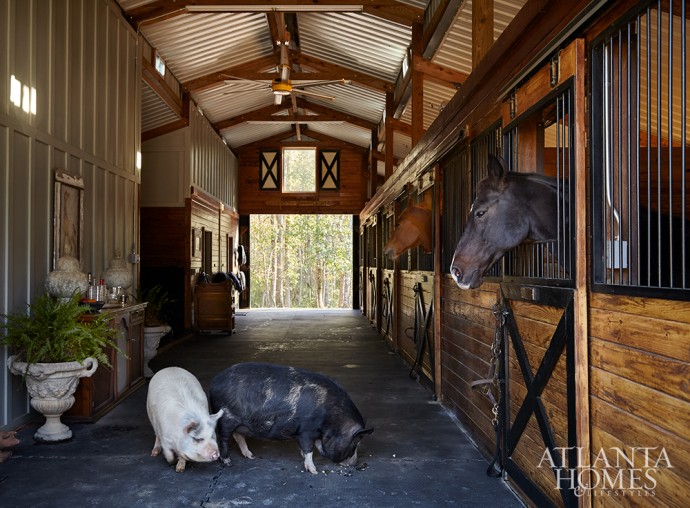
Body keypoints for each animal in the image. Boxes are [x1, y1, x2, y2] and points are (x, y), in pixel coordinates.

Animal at [208, 362, 370, 472]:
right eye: (356, 443)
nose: (354, 464)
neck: (333, 420)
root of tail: (214, 382)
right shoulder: (306, 430)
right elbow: (309, 448)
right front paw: (314, 471)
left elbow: (310, 446)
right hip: (226, 418)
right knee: (224, 438)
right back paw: (228, 463)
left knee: (238, 435)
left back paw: (251, 456)